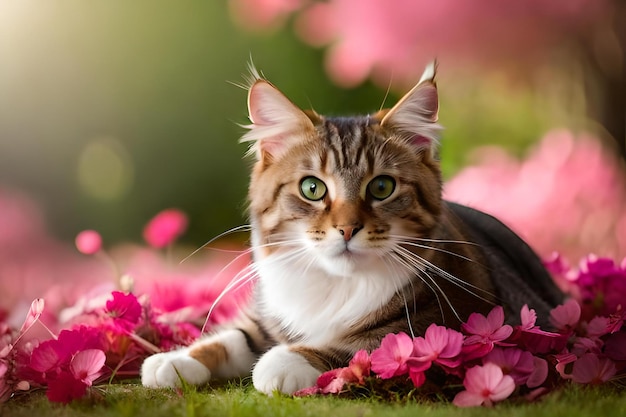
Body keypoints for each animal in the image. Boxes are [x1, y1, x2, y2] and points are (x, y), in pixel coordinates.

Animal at [140, 61, 560, 394]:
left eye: (382, 187)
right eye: (312, 188)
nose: (346, 229)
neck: (334, 283)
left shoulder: (456, 322)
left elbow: (363, 344)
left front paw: (283, 362)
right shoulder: (269, 315)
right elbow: (235, 336)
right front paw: (176, 359)